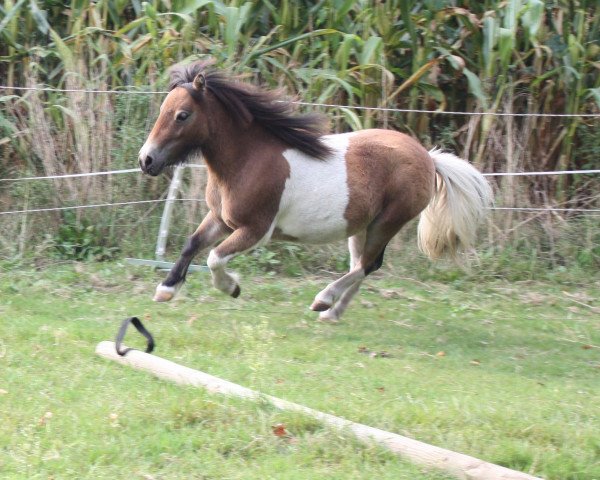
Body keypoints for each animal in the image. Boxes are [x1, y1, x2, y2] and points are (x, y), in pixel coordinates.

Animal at [139, 62, 492, 320]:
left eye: (182, 115)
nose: (146, 160)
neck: (248, 159)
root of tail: (428, 158)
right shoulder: (220, 218)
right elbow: (192, 244)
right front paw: (166, 289)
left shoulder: (255, 230)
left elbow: (213, 258)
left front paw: (232, 288)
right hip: (360, 226)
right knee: (362, 265)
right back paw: (332, 313)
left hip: (388, 222)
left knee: (367, 265)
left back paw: (323, 300)